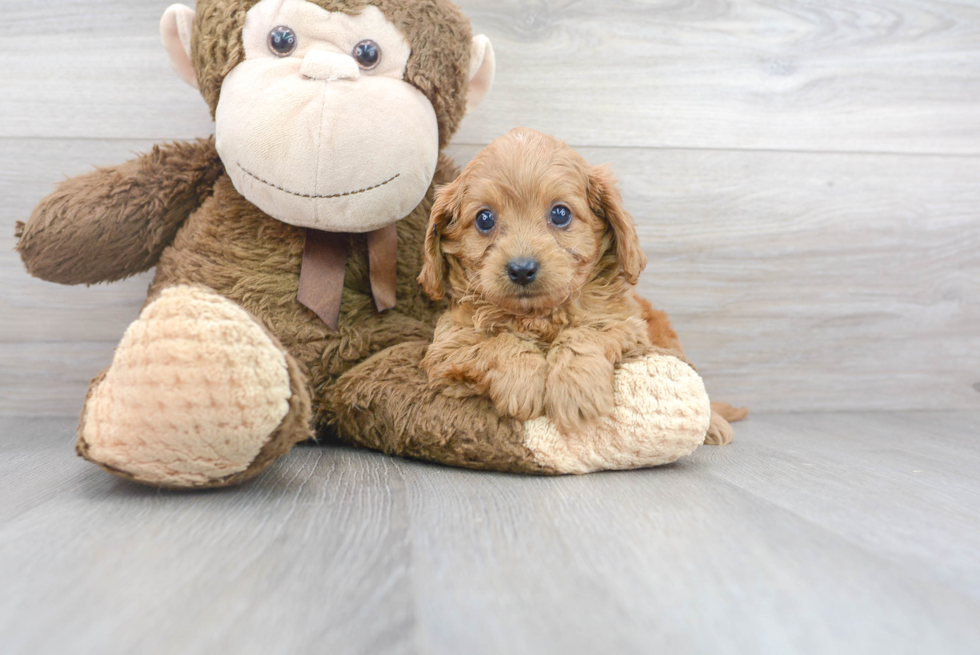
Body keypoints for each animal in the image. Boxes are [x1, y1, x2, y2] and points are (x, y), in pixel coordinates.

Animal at [418, 128, 668, 436]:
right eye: (484, 219)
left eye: (560, 214)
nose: (522, 269)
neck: (538, 316)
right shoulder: (448, 347)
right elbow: (499, 342)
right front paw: (522, 382)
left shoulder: (625, 324)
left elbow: (584, 333)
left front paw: (576, 390)